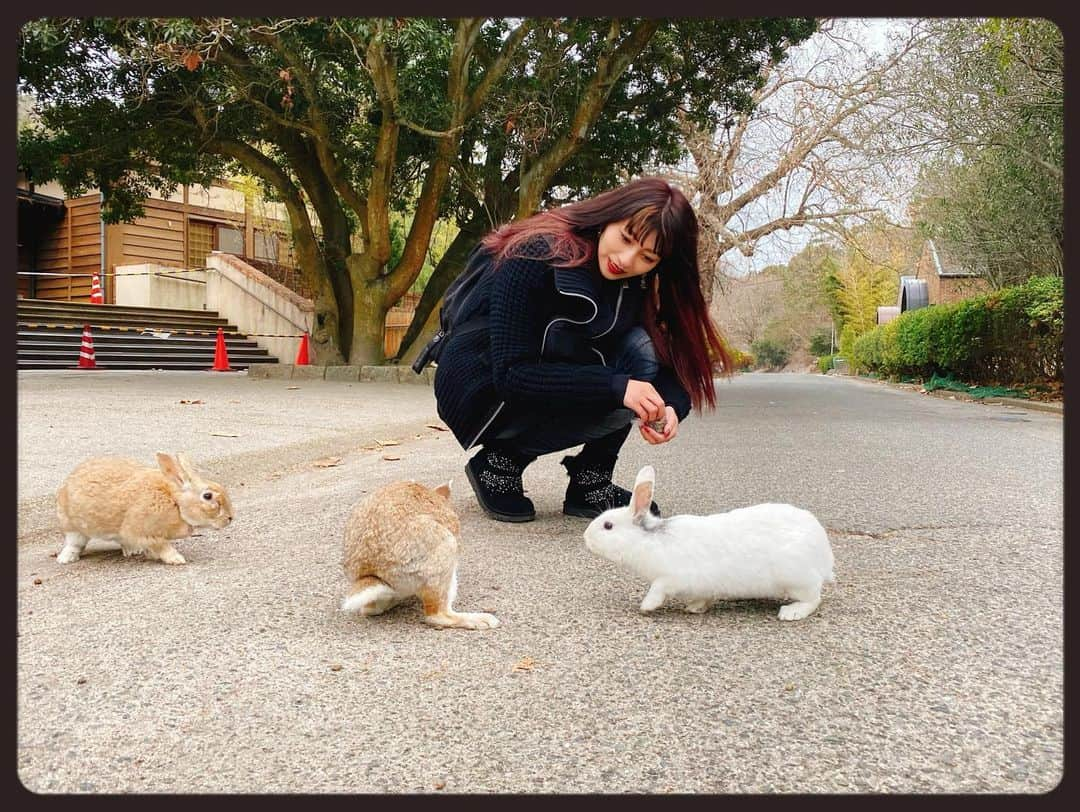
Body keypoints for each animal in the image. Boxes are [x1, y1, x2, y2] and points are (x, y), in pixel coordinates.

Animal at [54, 453, 232, 565]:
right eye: (207, 496)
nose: (230, 518)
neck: (175, 502)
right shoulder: (147, 534)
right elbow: (163, 547)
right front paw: (177, 560)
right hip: (71, 525)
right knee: (74, 543)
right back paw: (65, 559)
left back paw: (132, 551)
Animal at [587, 466, 829, 617]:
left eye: (608, 526)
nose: (586, 538)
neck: (648, 540)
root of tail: (824, 554)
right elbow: (703, 597)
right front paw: (694, 608)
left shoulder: (672, 578)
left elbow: (658, 589)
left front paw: (646, 607)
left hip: (797, 580)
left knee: (814, 599)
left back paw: (791, 612)